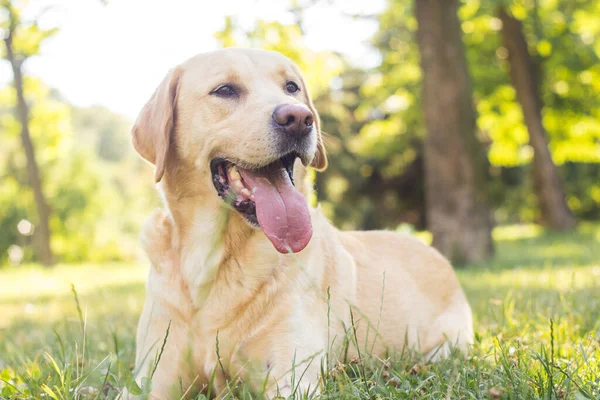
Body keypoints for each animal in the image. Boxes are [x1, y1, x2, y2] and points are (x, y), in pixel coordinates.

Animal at [126, 48, 474, 398]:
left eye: (291, 87)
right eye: (225, 90)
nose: (298, 119)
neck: (213, 257)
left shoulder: (292, 377)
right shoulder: (149, 378)